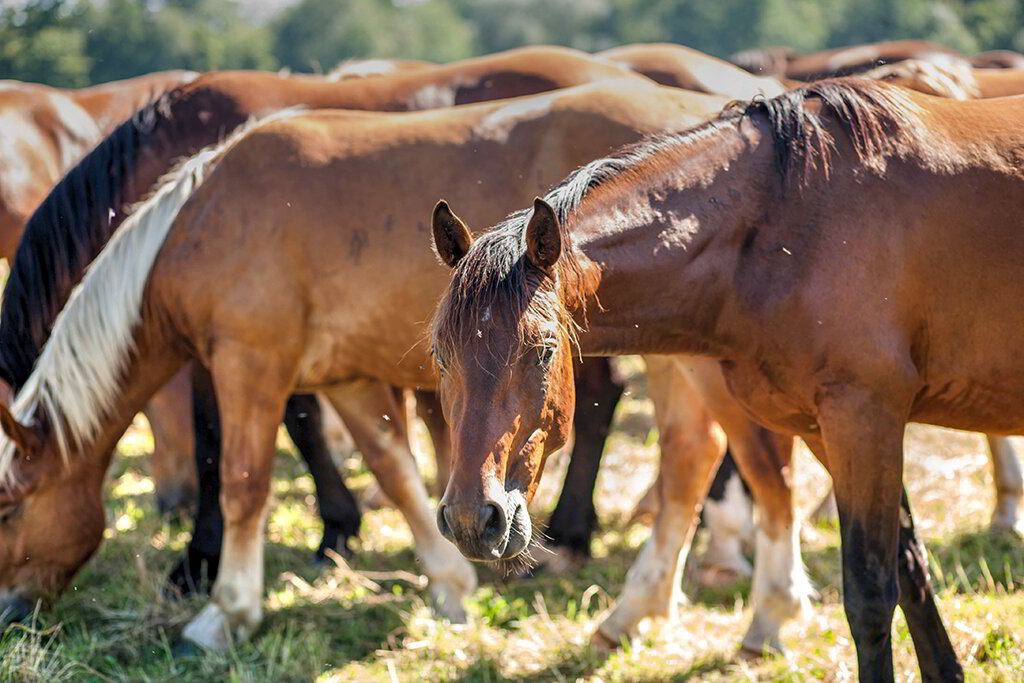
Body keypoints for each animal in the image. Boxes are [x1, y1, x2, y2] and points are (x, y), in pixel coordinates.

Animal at [428, 78, 1024, 679]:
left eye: (544, 351)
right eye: (441, 356)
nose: (472, 520)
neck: (787, 224)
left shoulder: (864, 419)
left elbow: (872, 595)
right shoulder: (826, 429)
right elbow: (910, 566)